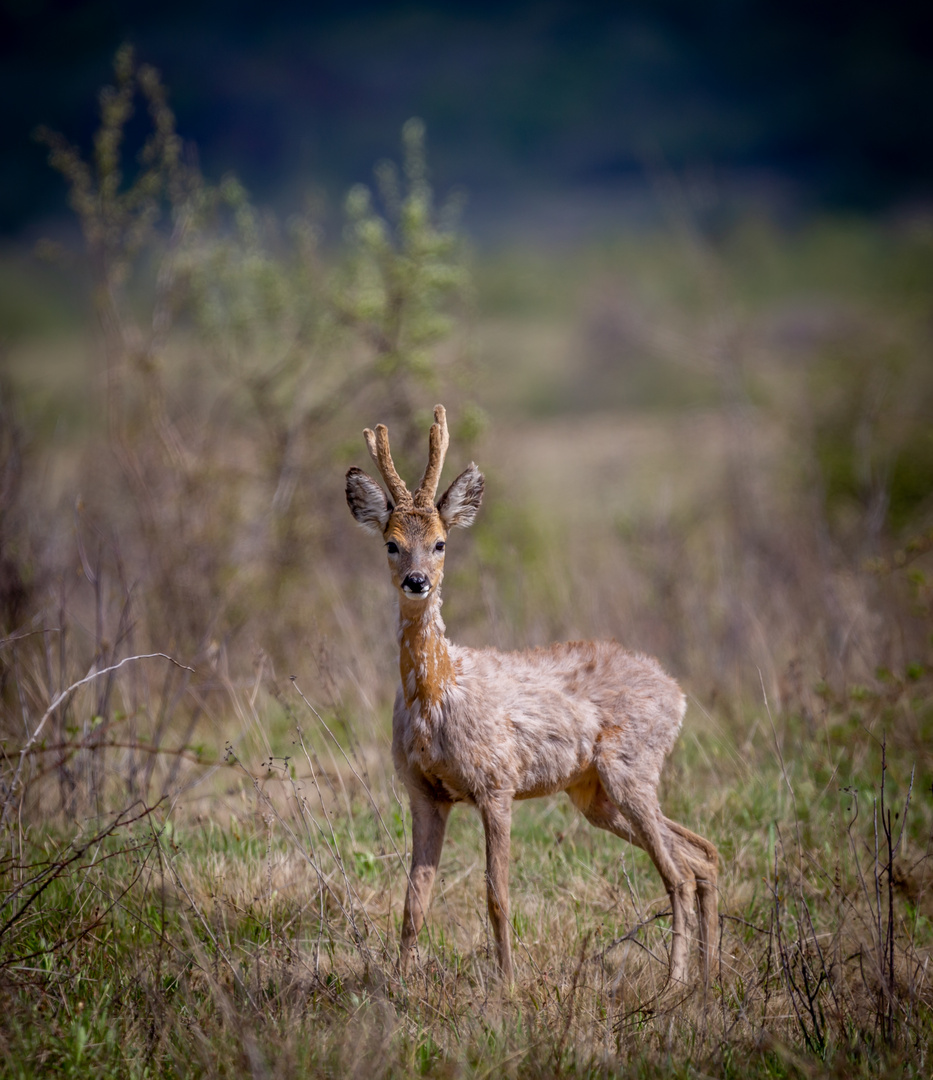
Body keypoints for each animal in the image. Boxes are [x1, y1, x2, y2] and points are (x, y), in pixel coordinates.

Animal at [345, 406, 717, 989]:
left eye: (441, 542)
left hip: (631, 767)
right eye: (391, 542)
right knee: (702, 854)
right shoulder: (424, 793)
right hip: (594, 794)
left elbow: (497, 896)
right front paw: (398, 986)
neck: (438, 696)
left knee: (677, 871)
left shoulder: (497, 782)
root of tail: (677, 693)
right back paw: (707, 977)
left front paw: (507, 985)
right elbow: (413, 900)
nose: (417, 581)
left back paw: (676, 983)